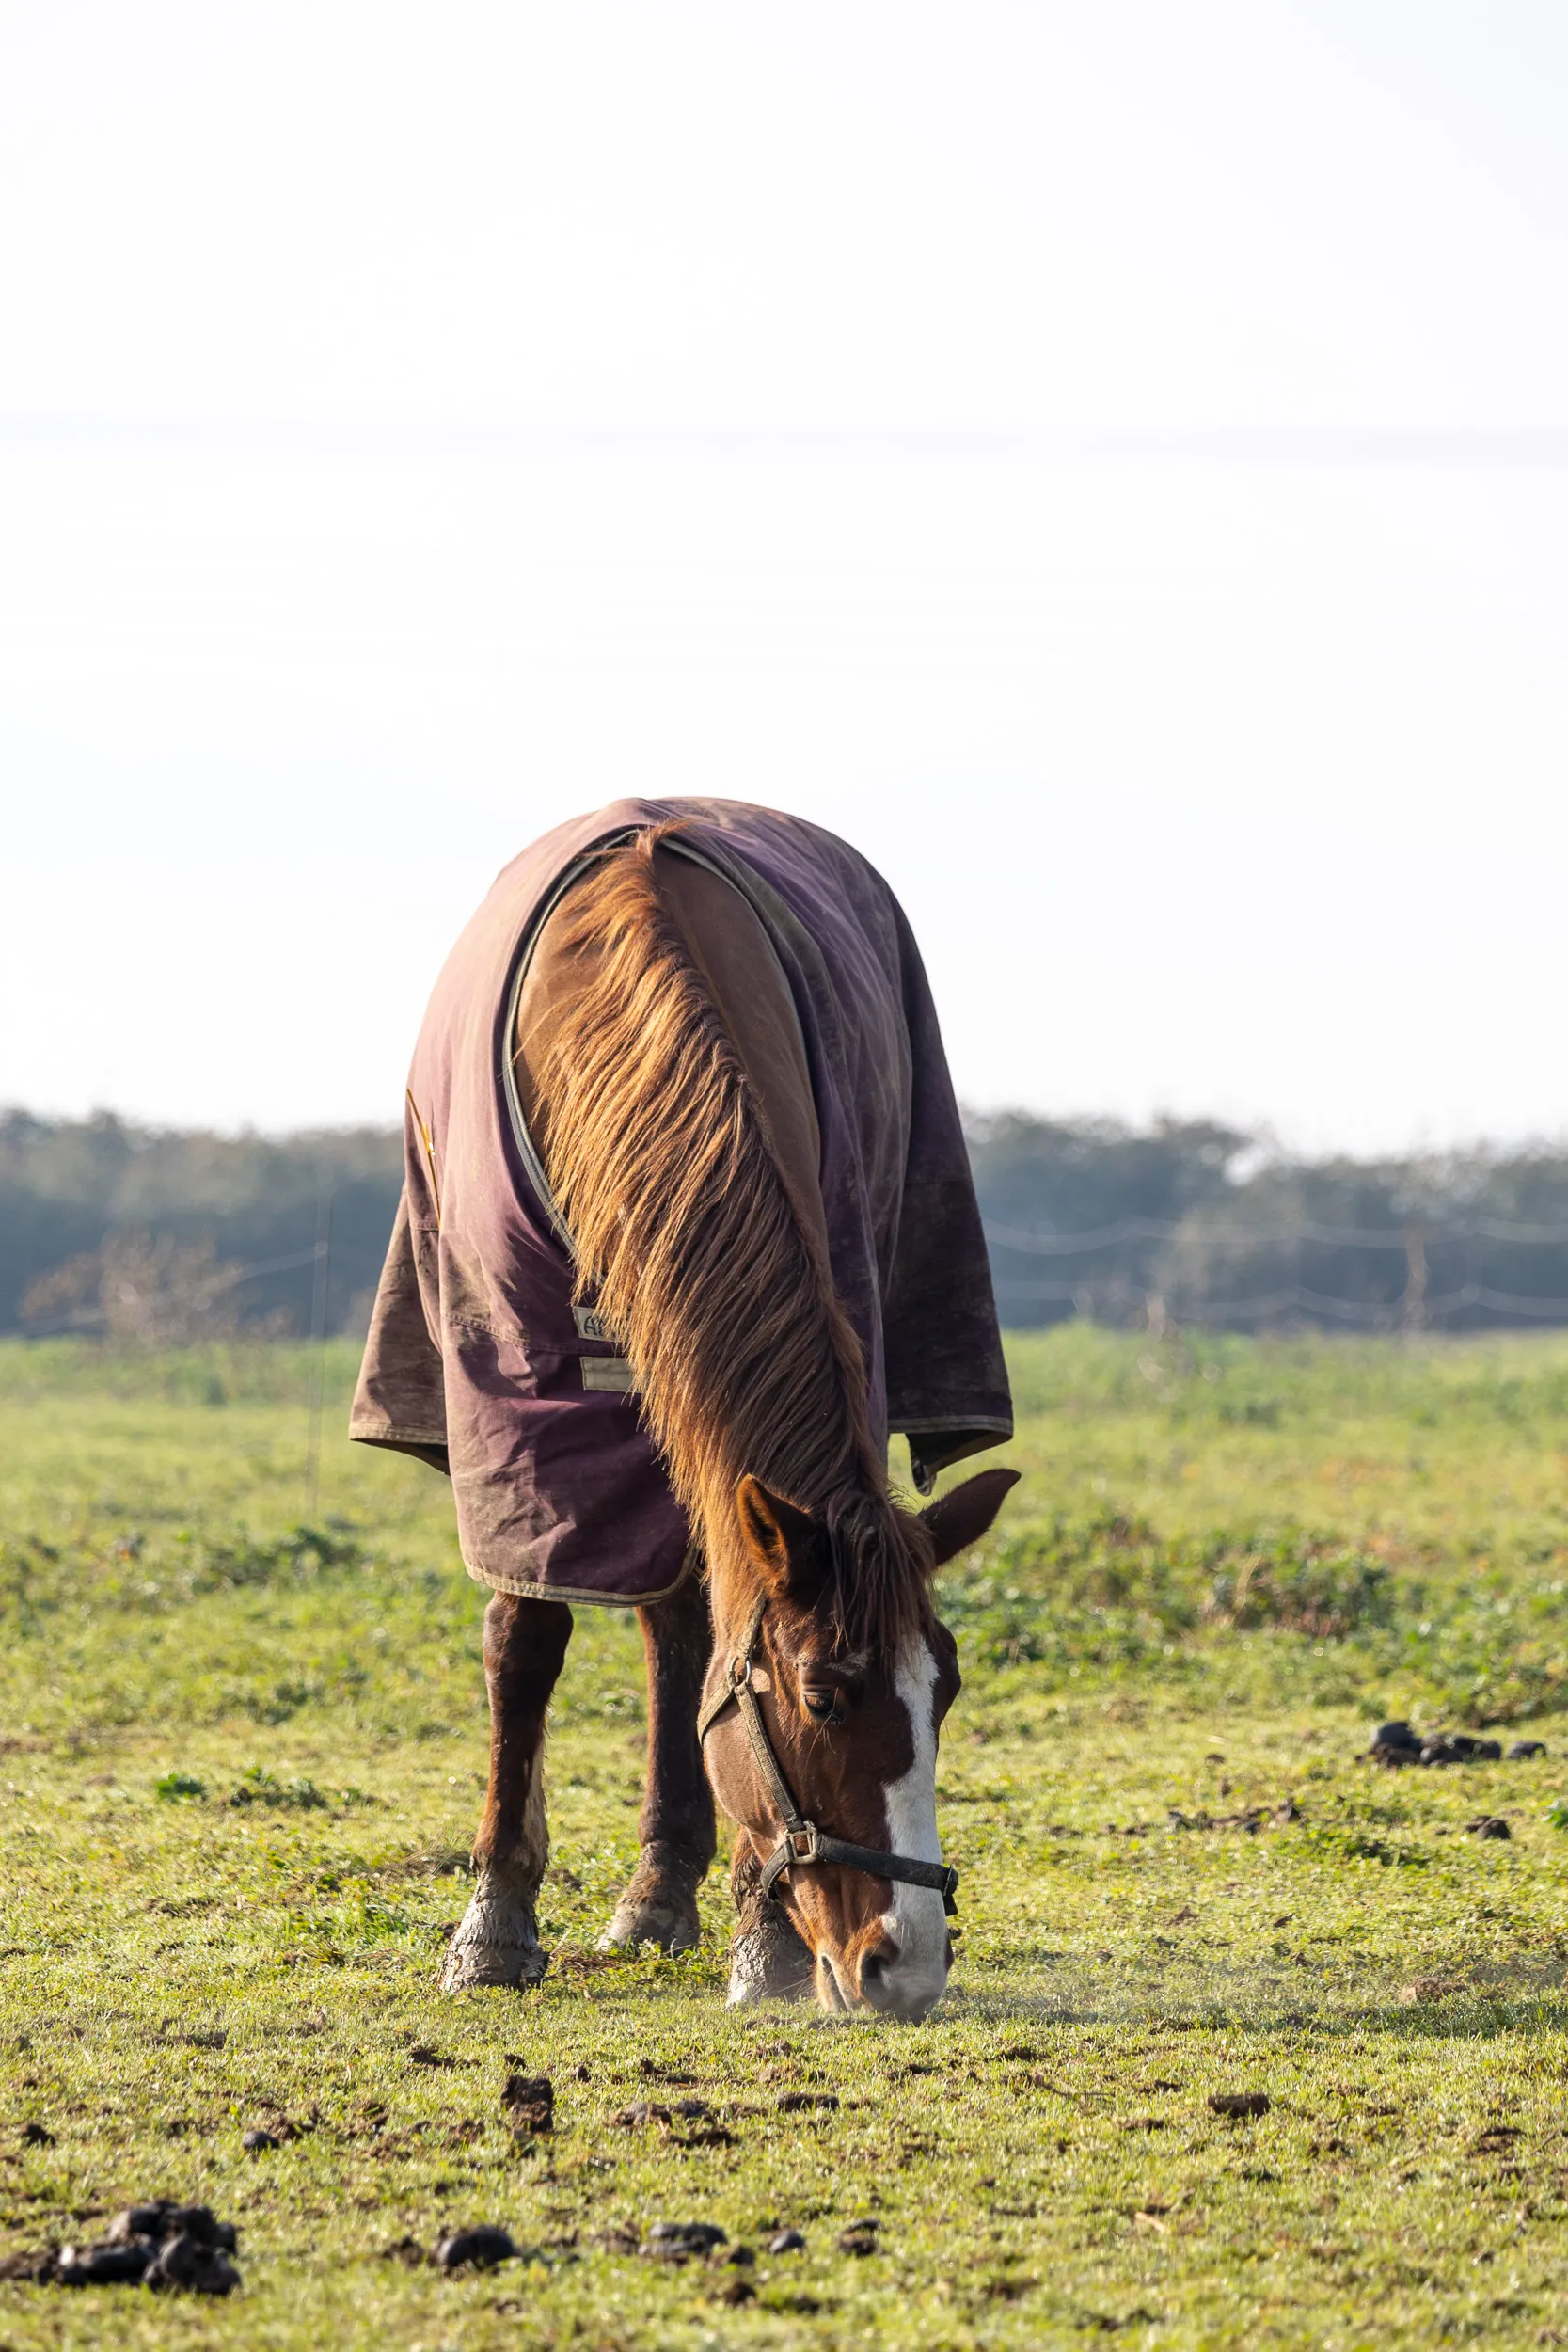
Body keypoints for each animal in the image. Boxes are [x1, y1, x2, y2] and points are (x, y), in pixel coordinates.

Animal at [353, 802, 1015, 2021]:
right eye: (826, 1696)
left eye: (942, 1690)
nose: (903, 1965)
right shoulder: (516, 1389)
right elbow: (527, 1632)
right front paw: (493, 1922)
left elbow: (709, 1624)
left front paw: (763, 1940)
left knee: (681, 1619)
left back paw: (665, 1892)